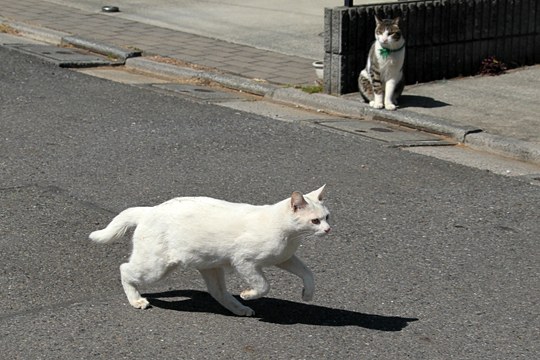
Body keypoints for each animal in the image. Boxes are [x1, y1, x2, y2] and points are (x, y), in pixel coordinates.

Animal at [89, 186, 330, 316]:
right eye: (315, 221)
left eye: (327, 217)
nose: (328, 229)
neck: (289, 236)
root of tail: (149, 210)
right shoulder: (244, 261)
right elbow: (263, 285)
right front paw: (248, 293)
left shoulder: (285, 258)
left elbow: (308, 274)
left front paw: (307, 294)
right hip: (156, 267)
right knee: (124, 269)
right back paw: (136, 300)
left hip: (210, 265)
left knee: (218, 292)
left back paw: (239, 309)